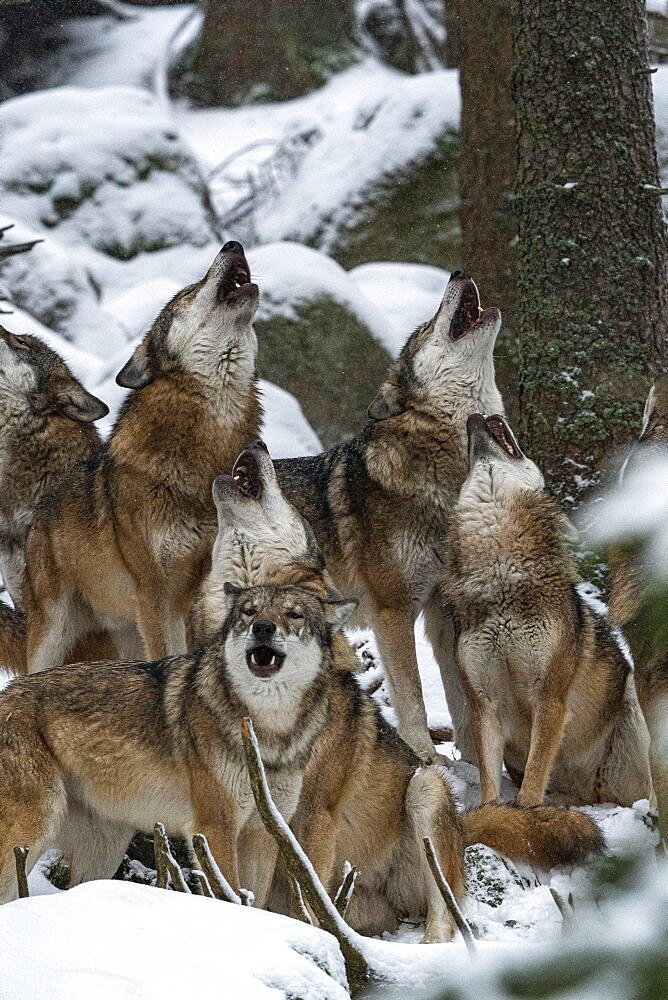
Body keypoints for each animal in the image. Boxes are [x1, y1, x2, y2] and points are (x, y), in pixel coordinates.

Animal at [0, 584, 354, 904]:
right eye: (249, 611)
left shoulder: (264, 832)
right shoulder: (214, 827)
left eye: (294, 614)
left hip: (103, 850)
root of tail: (6, 693)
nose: (263, 627)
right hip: (35, 829)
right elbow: (230, 892)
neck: (266, 731)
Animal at [21, 242, 260, 672]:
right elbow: (166, 656)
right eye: (189, 291)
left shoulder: (194, 596)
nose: (233, 245)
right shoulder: (154, 595)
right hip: (53, 633)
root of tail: (37, 516)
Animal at [444, 410, 652, 808]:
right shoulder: (483, 705)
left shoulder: (550, 701)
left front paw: (525, 812)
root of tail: (585, 796)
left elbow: (532, 782)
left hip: (633, 703)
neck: (501, 579)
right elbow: (491, 788)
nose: (481, 413)